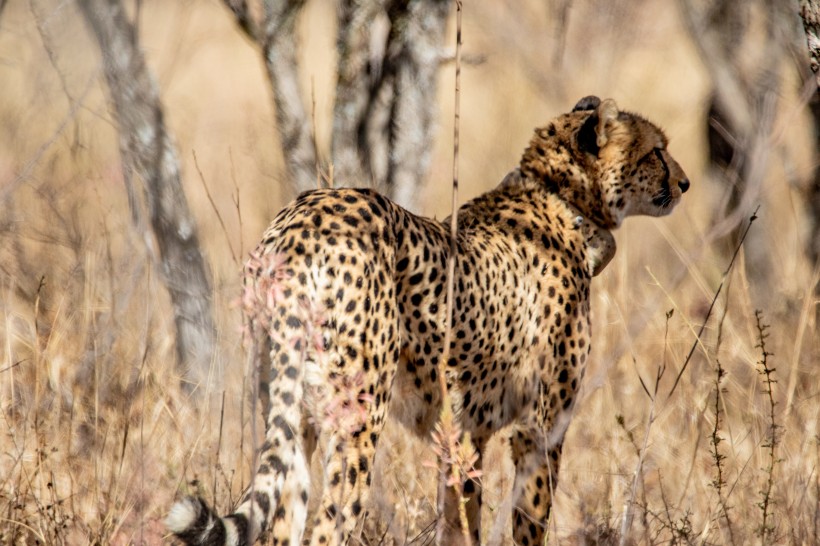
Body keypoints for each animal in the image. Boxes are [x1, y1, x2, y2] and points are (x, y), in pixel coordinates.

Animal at [168, 96, 692, 544]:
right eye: (657, 150)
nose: (685, 183)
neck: (560, 199)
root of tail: (304, 218)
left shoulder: (460, 436)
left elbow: (459, 523)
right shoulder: (539, 429)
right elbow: (528, 519)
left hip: (290, 407)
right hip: (358, 416)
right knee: (329, 525)